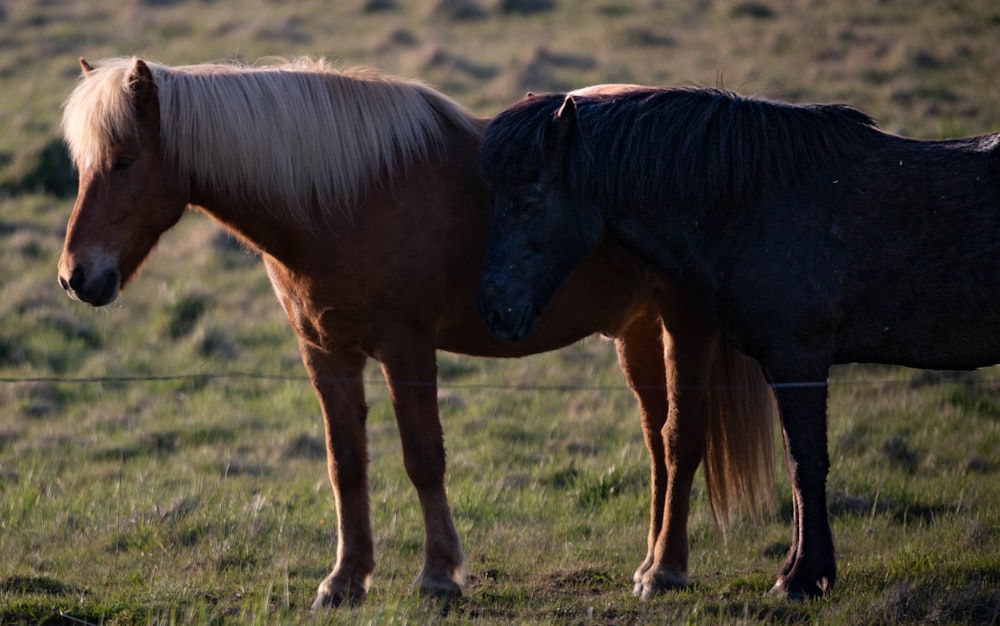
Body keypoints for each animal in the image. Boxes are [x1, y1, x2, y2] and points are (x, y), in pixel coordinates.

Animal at [56, 58, 772, 604]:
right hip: (638, 330)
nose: (75, 276)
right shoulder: (326, 353)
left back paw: (667, 571)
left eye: (124, 161)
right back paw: (649, 561)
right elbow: (345, 463)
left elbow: (423, 459)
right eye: (83, 164)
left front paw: (438, 577)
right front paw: (345, 581)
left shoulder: (406, 348)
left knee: (681, 439)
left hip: (685, 323)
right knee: (656, 442)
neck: (343, 199)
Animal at [476, 83, 1000, 596]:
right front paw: (800, 569)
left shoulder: (798, 360)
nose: (494, 310)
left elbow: (805, 462)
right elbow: (794, 464)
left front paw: (801, 577)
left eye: (528, 200)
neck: (762, 202)